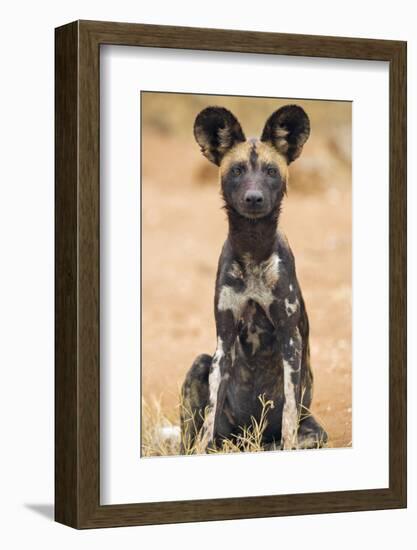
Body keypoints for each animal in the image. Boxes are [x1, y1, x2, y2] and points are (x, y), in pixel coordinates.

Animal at [180, 105, 326, 454]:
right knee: (194, 438)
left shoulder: (290, 339)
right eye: (237, 171)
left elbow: (288, 414)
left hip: (315, 432)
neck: (253, 250)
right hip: (201, 365)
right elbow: (209, 418)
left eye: (271, 171)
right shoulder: (224, 341)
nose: (254, 197)